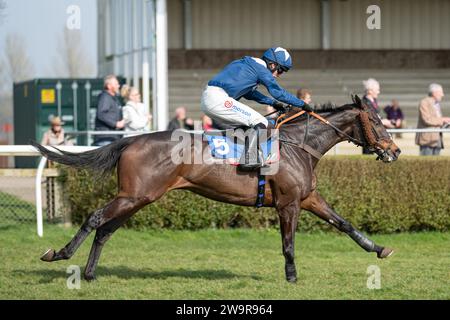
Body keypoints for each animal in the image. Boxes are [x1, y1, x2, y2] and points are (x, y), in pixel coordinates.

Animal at [34, 94, 400, 282]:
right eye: (376, 121)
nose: (395, 150)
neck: (299, 144)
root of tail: (132, 139)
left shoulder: (307, 197)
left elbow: (345, 223)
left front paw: (379, 248)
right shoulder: (288, 204)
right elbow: (288, 243)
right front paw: (292, 276)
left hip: (138, 197)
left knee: (105, 229)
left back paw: (90, 273)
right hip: (134, 195)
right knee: (95, 219)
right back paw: (60, 254)